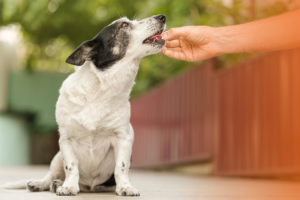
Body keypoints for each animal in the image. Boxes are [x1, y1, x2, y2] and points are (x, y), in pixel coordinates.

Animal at [1, 14, 166, 197]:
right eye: (124, 25)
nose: (162, 16)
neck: (102, 90)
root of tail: (89, 186)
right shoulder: (66, 139)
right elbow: (71, 166)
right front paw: (68, 187)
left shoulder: (122, 138)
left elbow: (121, 168)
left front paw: (125, 187)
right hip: (57, 157)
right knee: (50, 176)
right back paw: (46, 184)